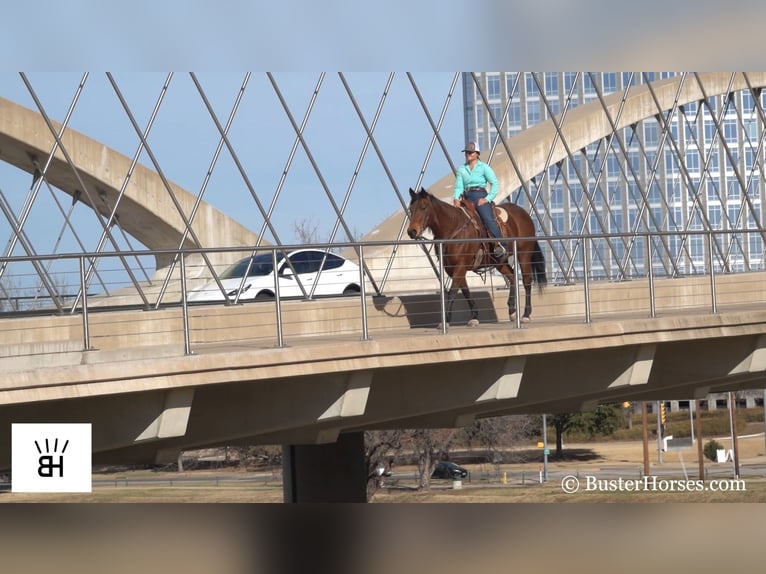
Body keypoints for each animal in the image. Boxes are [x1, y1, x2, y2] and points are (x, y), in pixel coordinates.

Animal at [408, 187, 544, 326]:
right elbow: (465, 291)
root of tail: (524, 214)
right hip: (499, 262)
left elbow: (452, 292)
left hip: (524, 255)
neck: (454, 228)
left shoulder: (460, 266)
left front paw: (446, 320)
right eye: (410, 209)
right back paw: (512, 311)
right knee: (512, 277)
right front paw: (474, 316)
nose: (412, 231)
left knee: (527, 281)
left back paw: (526, 314)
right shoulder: (451, 268)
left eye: (424, 207)